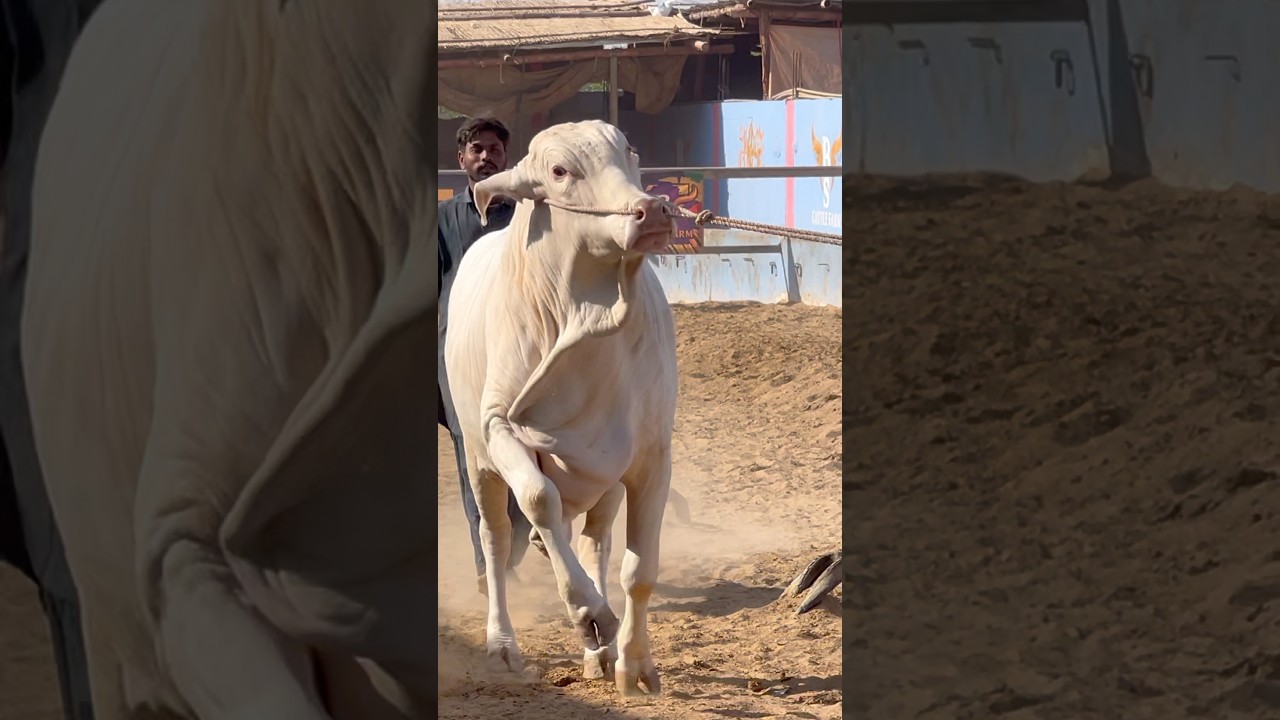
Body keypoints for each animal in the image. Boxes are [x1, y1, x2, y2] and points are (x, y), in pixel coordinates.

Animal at [444, 119, 678, 697]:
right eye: (558, 170)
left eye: (629, 151)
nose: (651, 211)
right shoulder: (499, 427)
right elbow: (536, 499)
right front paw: (589, 614)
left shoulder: (651, 456)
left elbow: (638, 570)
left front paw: (634, 662)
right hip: (478, 461)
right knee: (498, 543)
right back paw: (504, 643)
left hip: (600, 483)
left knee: (593, 541)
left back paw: (599, 654)